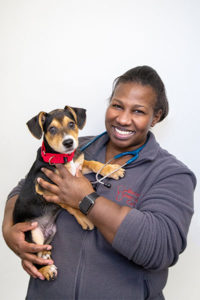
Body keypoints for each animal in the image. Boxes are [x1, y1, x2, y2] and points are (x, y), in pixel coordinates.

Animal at [12, 106, 123, 282]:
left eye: (71, 124)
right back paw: (46, 269)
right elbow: (67, 202)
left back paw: (46, 254)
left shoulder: (79, 166)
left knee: (42, 250)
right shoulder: (45, 187)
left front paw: (110, 169)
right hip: (32, 233)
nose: (69, 142)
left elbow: (92, 163)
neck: (63, 159)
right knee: (34, 255)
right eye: (52, 129)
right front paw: (84, 218)